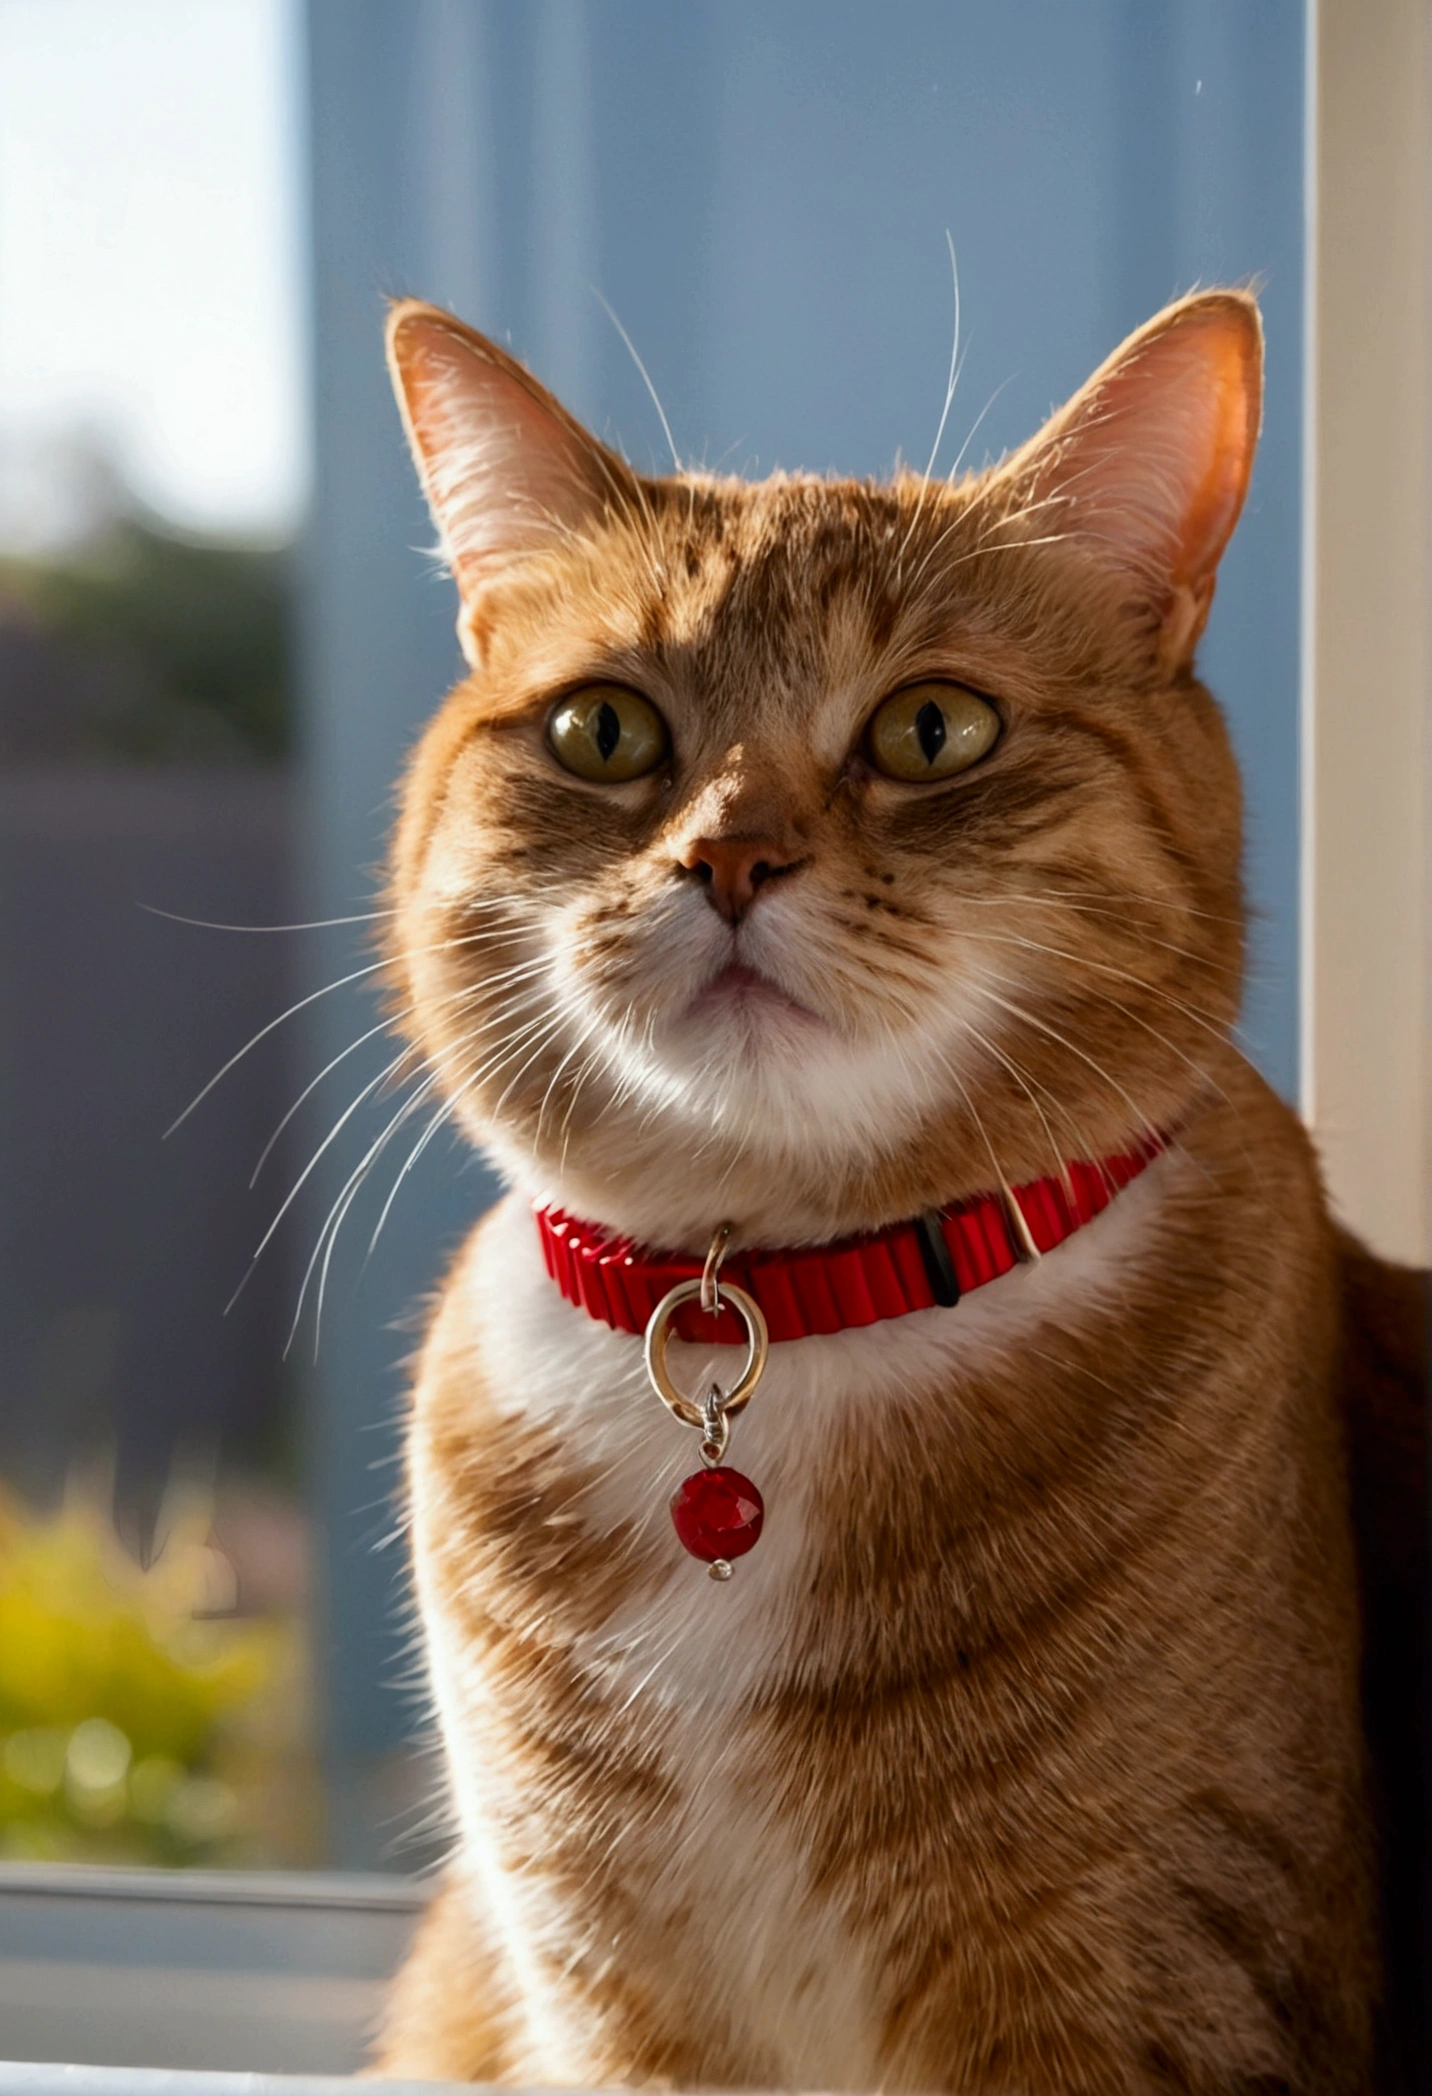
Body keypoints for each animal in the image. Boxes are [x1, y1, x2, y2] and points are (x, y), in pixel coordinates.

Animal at [369, 295, 1425, 2096]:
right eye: (605, 732)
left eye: (934, 729)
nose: (728, 858)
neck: (774, 1307)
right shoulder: (608, 2006)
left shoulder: (1142, 1988)